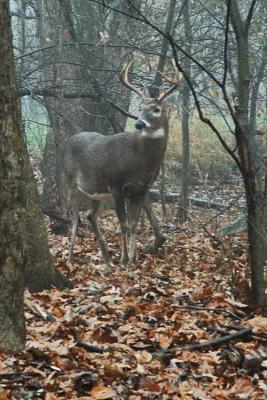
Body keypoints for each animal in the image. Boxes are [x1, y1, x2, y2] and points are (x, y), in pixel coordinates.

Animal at [62, 61, 180, 266]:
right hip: (71, 182)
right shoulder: (116, 184)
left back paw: (107, 259)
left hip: (97, 192)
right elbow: (123, 224)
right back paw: (69, 259)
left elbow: (133, 224)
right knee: (74, 219)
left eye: (156, 109)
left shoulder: (141, 189)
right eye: (140, 107)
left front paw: (134, 259)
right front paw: (125, 259)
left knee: (91, 216)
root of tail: (69, 140)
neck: (140, 163)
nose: (139, 124)